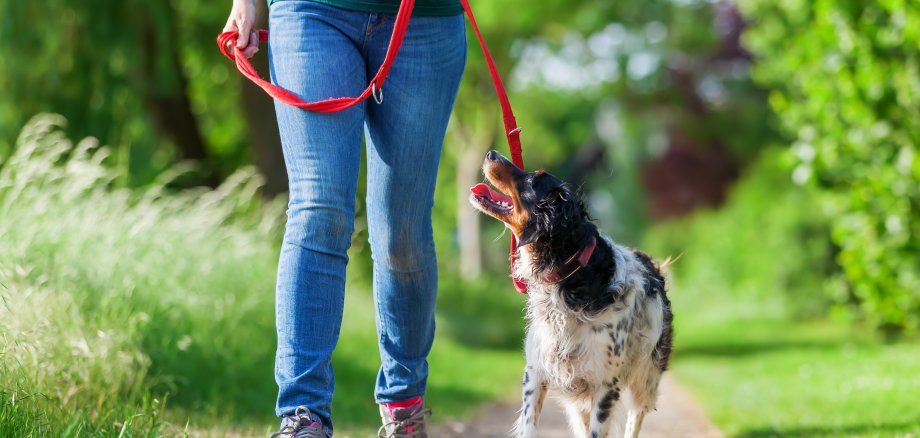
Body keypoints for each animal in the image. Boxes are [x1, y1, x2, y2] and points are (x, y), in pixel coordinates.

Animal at [470, 151, 672, 438]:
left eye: (532, 179)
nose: (491, 153)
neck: (569, 277)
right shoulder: (536, 372)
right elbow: (529, 426)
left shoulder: (605, 385)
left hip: (646, 379)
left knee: (635, 418)